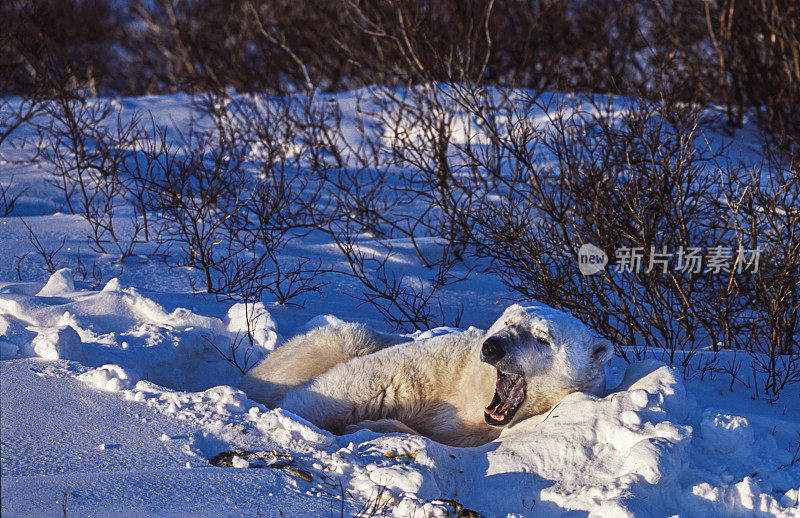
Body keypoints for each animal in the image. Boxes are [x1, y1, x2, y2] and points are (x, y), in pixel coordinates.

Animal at [241, 306, 608, 448]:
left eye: (543, 338)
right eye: (506, 322)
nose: (492, 347)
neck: (472, 400)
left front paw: (371, 424)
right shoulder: (435, 370)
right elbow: (364, 381)